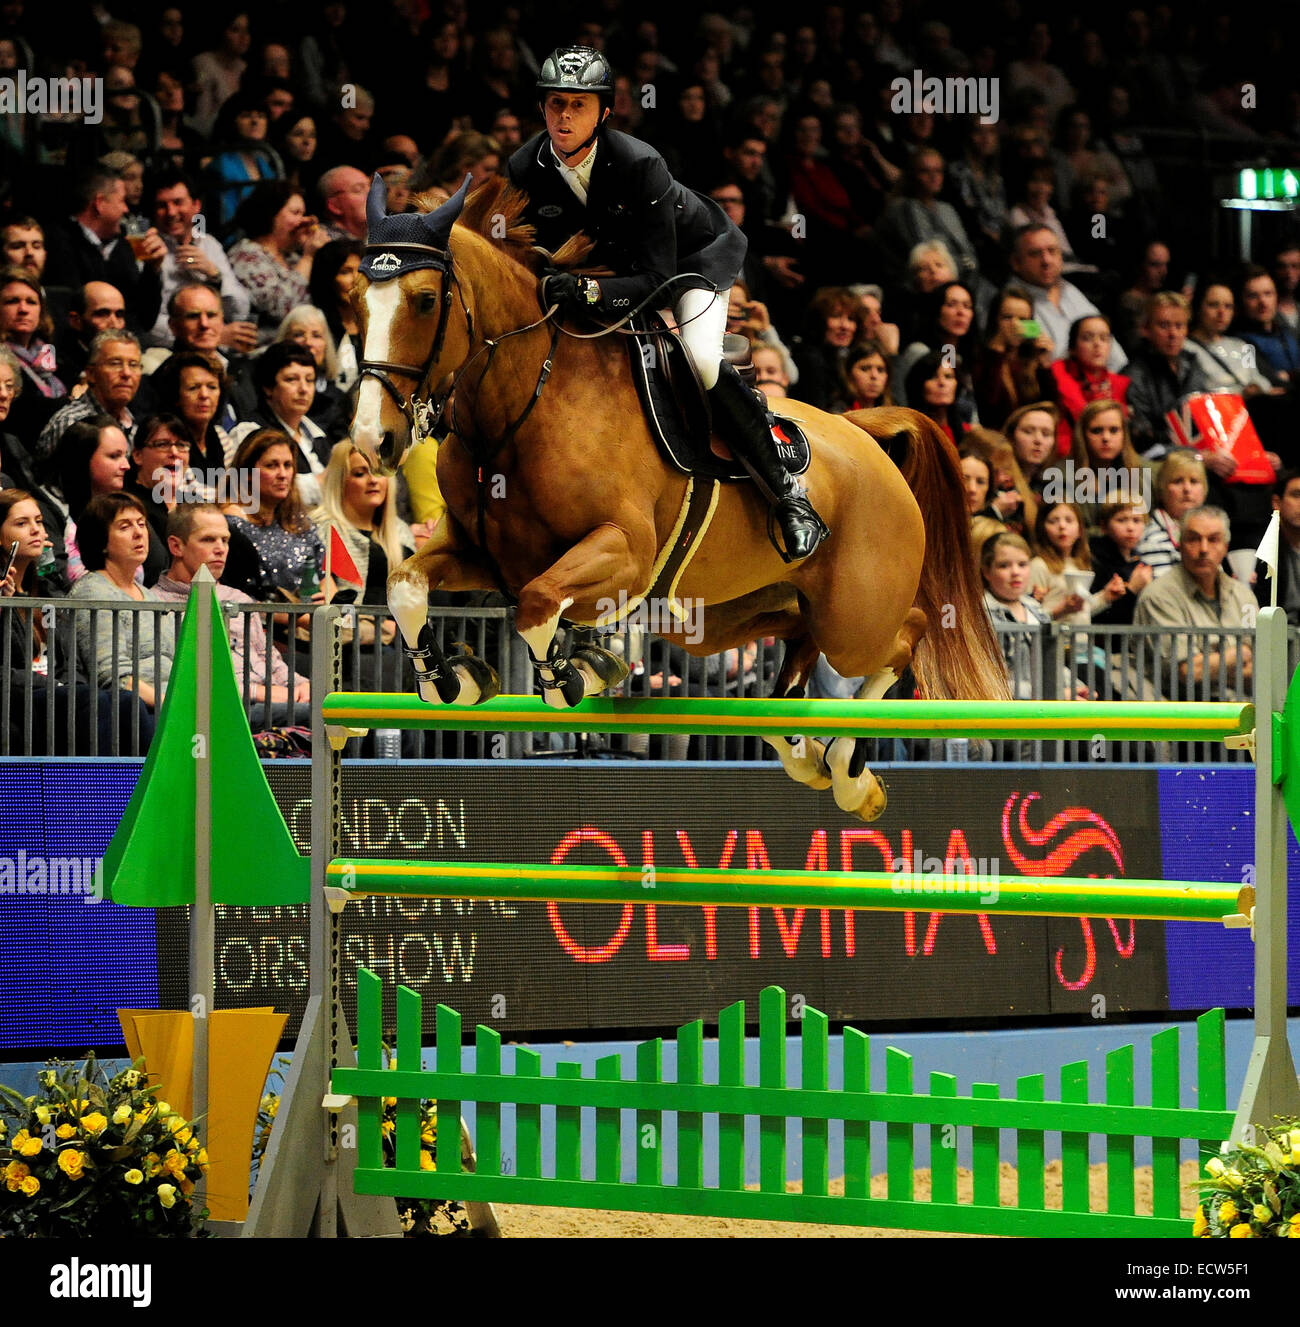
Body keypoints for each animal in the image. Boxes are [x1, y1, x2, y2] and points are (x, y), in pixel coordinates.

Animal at [347, 176, 1002, 817]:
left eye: (425, 300)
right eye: (356, 301)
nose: (372, 439)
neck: (521, 406)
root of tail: (864, 433)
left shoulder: (625, 553)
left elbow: (537, 605)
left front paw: (574, 673)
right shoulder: (483, 552)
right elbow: (407, 585)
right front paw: (451, 679)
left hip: (855, 615)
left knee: (905, 634)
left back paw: (846, 767)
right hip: (732, 616)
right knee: (800, 641)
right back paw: (801, 749)